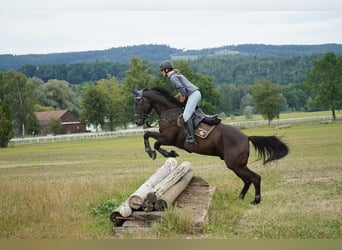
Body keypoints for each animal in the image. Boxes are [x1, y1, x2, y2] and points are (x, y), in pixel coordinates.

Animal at [132, 85, 288, 203]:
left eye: (138, 103)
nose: (137, 121)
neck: (169, 112)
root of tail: (246, 137)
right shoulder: (166, 138)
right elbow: (153, 141)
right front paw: (169, 153)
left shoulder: (168, 138)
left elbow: (149, 137)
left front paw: (154, 152)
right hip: (236, 165)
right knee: (248, 180)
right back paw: (240, 197)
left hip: (235, 164)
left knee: (255, 178)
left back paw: (255, 200)